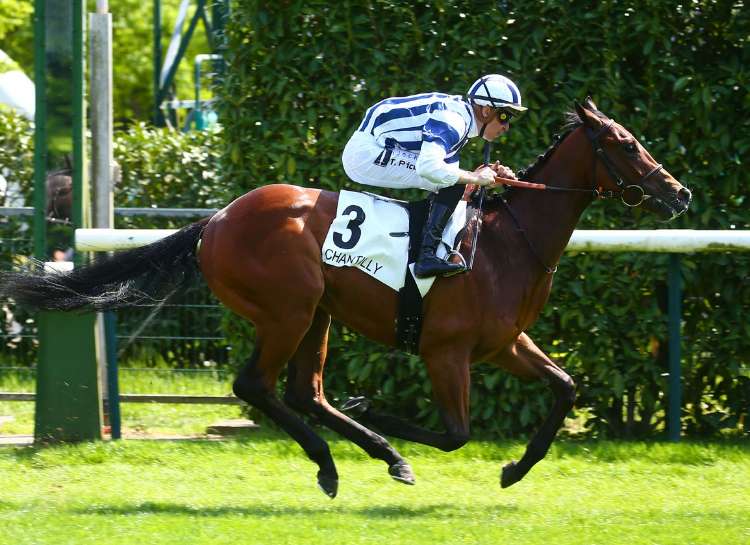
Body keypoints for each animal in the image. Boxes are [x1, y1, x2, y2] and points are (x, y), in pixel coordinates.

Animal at [1, 98, 691, 498]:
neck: (505, 242)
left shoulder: (503, 344)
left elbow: (565, 388)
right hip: (290, 308)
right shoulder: (446, 352)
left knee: (305, 392)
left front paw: (515, 469)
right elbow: (455, 433)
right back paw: (342, 461)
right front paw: (382, 412)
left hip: (317, 315)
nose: (679, 193)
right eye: (626, 145)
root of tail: (216, 221)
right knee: (257, 386)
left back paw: (369, 457)